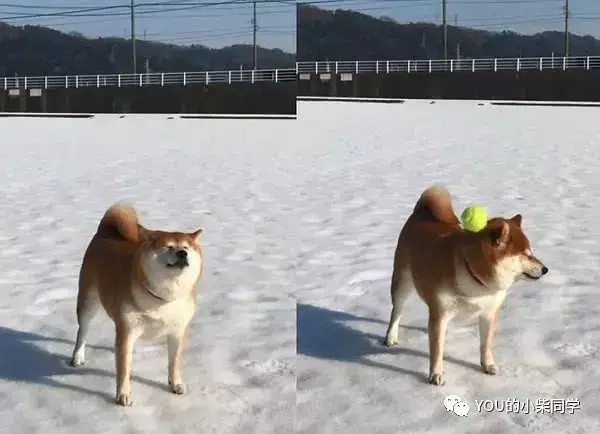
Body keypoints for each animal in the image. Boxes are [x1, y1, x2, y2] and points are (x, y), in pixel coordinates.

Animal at [70, 205, 204, 406]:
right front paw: (123, 395)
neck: (163, 297)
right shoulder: (127, 329)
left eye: (186, 247)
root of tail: (105, 231)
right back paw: (77, 357)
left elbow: (174, 363)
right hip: (88, 302)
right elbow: (124, 370)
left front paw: (175, 384)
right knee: (82, 331)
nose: (182, 253)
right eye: (169, 246)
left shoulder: (177, 331)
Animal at [384, 186, 548, 386]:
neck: (474, 276)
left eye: (531, 252)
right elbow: (436, 350)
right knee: (396, 311)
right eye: (525, 254)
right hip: (402, 282)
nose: (545, 269)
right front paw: (436, 374)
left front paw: (488, 365)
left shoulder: (489, 312)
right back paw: (391, 337)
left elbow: (486, 344)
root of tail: (421, 211)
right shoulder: (441, 312)